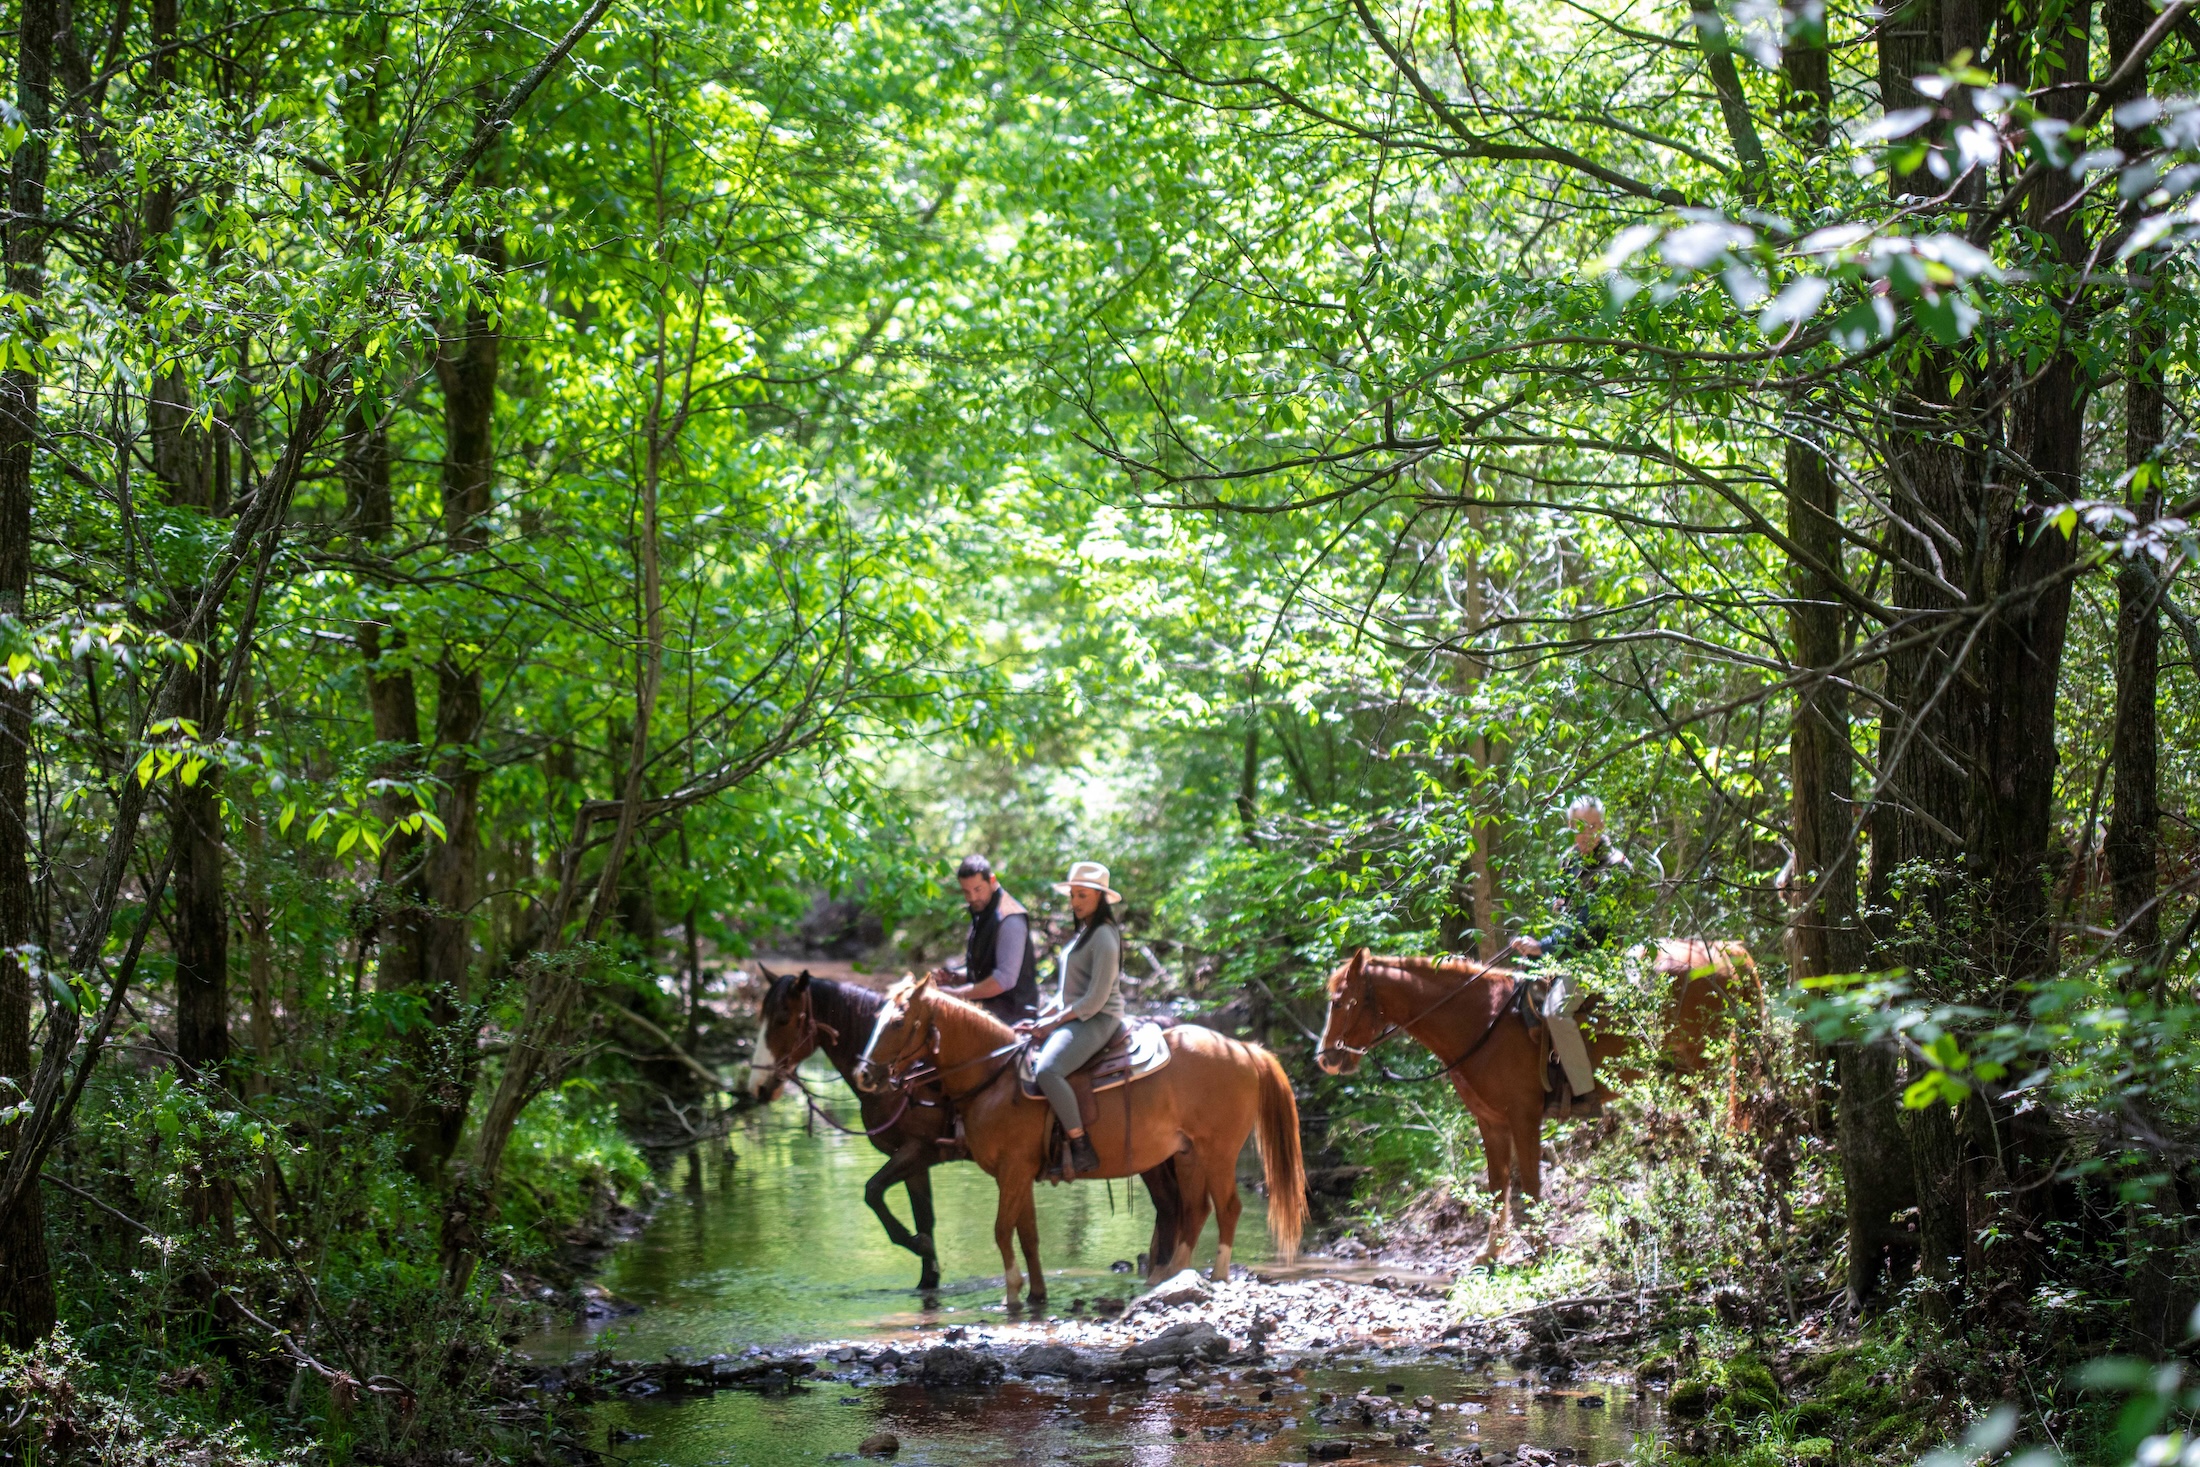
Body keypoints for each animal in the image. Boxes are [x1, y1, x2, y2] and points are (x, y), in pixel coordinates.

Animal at [743, 967, 1196, 1293]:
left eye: (783, 1018)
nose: (758, 1086)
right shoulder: (915, 1162)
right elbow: (923, 1217)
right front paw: (927, 1277)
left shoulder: (918, 1150)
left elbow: (874, 1193)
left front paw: (921, 1250)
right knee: (1169, 1208)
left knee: (1170, 1208)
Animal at [853, 976, 1302, 1310]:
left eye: (898, 1022)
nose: (865, 1075)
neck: (996, 1078)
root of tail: (1243, 1048)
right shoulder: (1017, 1175)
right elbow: (1028, 1235)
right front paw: (1035, 1294)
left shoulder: (1012, 1171)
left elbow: (1001, 1230)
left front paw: (1011, 1291)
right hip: (1187, 1155)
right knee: (1194, 1210)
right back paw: (1171, 1277)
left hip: (1217, 1152)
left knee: (1227, 1208)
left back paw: (1218, 1277)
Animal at [1311, 945, 1760, 1266]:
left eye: (1340, 1001)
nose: (1326, 1059)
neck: (1481, 1021)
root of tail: (1727, 952)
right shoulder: (1491, 1122)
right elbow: (1497, 1187)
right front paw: (1489, 1253)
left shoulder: (1524, 1116)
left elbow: (1529, 1184)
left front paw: (1540, 1249)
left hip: (1704, 1069)